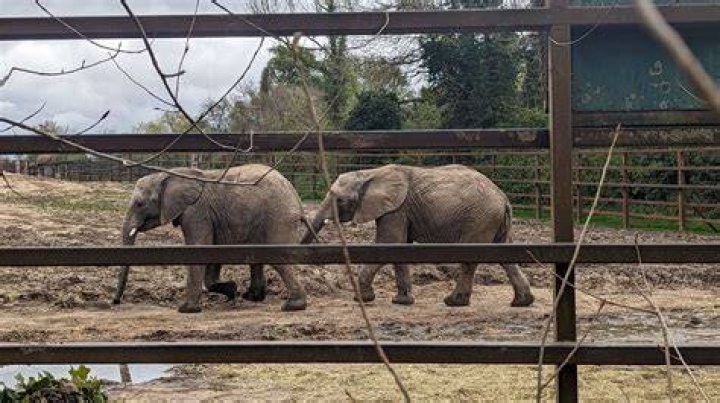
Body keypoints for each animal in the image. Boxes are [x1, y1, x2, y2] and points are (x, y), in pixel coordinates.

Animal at [114, 164, 307, 313]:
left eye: (140, 204)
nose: (115, 302)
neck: (169, 175)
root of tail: (295, 197)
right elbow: (211, 252)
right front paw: (232, 291)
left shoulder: (196, 211)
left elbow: (199, 248)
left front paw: (186, 309)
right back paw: (252, 297)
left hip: (278, 217)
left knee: (278, 259)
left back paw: (292, 306)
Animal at [301, 164, 535, 308]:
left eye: (339, 200)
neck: (370, 173)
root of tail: (503, 198)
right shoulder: (399, 211)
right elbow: (399, 248)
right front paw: (401, 301)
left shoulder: (395, 210)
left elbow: (389, 244)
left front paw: (364, 299)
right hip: (494, 220)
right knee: (505, 256)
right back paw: (522, 302)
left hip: (480, 218)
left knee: (471, 258)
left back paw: (453, 302)